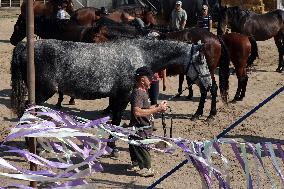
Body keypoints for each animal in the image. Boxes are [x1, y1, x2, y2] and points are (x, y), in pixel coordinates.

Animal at [10, 38, 211, 127]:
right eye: (201, 60)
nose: (209, 85)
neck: (139, 53)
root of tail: (24, 46)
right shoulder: (124, 96)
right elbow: (116, 120)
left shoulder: (116, 96)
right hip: (42, 92)